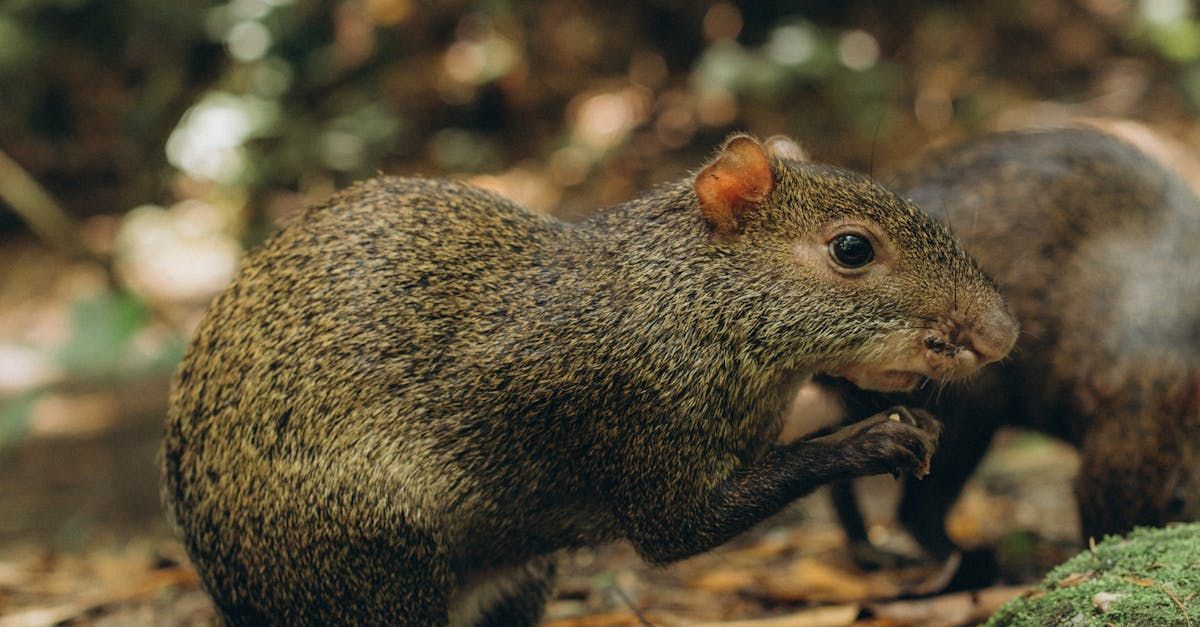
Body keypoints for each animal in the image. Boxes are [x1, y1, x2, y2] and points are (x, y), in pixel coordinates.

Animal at [161, 133, 1018, 625]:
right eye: (851, 248)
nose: (1002, 332)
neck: (678, 301)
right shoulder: (639, 429)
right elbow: (682, 530)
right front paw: (876, 437)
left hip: (519, 576)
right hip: (375, 563)